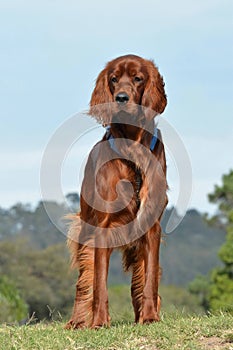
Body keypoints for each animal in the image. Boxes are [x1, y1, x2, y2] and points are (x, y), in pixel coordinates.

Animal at [65, 54, 167, 328]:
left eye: (138, 78)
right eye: (113, 78)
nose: (121, 97)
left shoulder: (151, 227)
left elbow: (149, 281)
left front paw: (150, 317)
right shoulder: (102, 228)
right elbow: (99, 284)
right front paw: (99, 322)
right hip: (86, 233)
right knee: (84, 282)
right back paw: (77, 321)